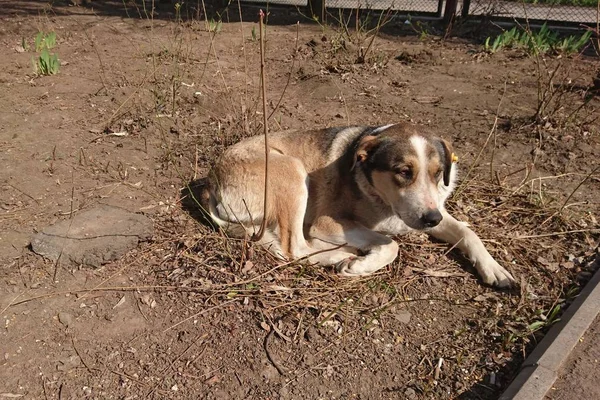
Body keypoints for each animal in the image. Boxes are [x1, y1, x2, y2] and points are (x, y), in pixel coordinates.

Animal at [203, 122, 516, 288]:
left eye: (438, 172)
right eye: (404, 172)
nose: (431, 220)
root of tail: (211, 180)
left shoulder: (435, 211)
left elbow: (467, 231)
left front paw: (495, 269)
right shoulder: (328, 223)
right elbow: (392, 243)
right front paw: (363, 265)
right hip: (293, 172)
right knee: (294, 247)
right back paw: (342, 256)